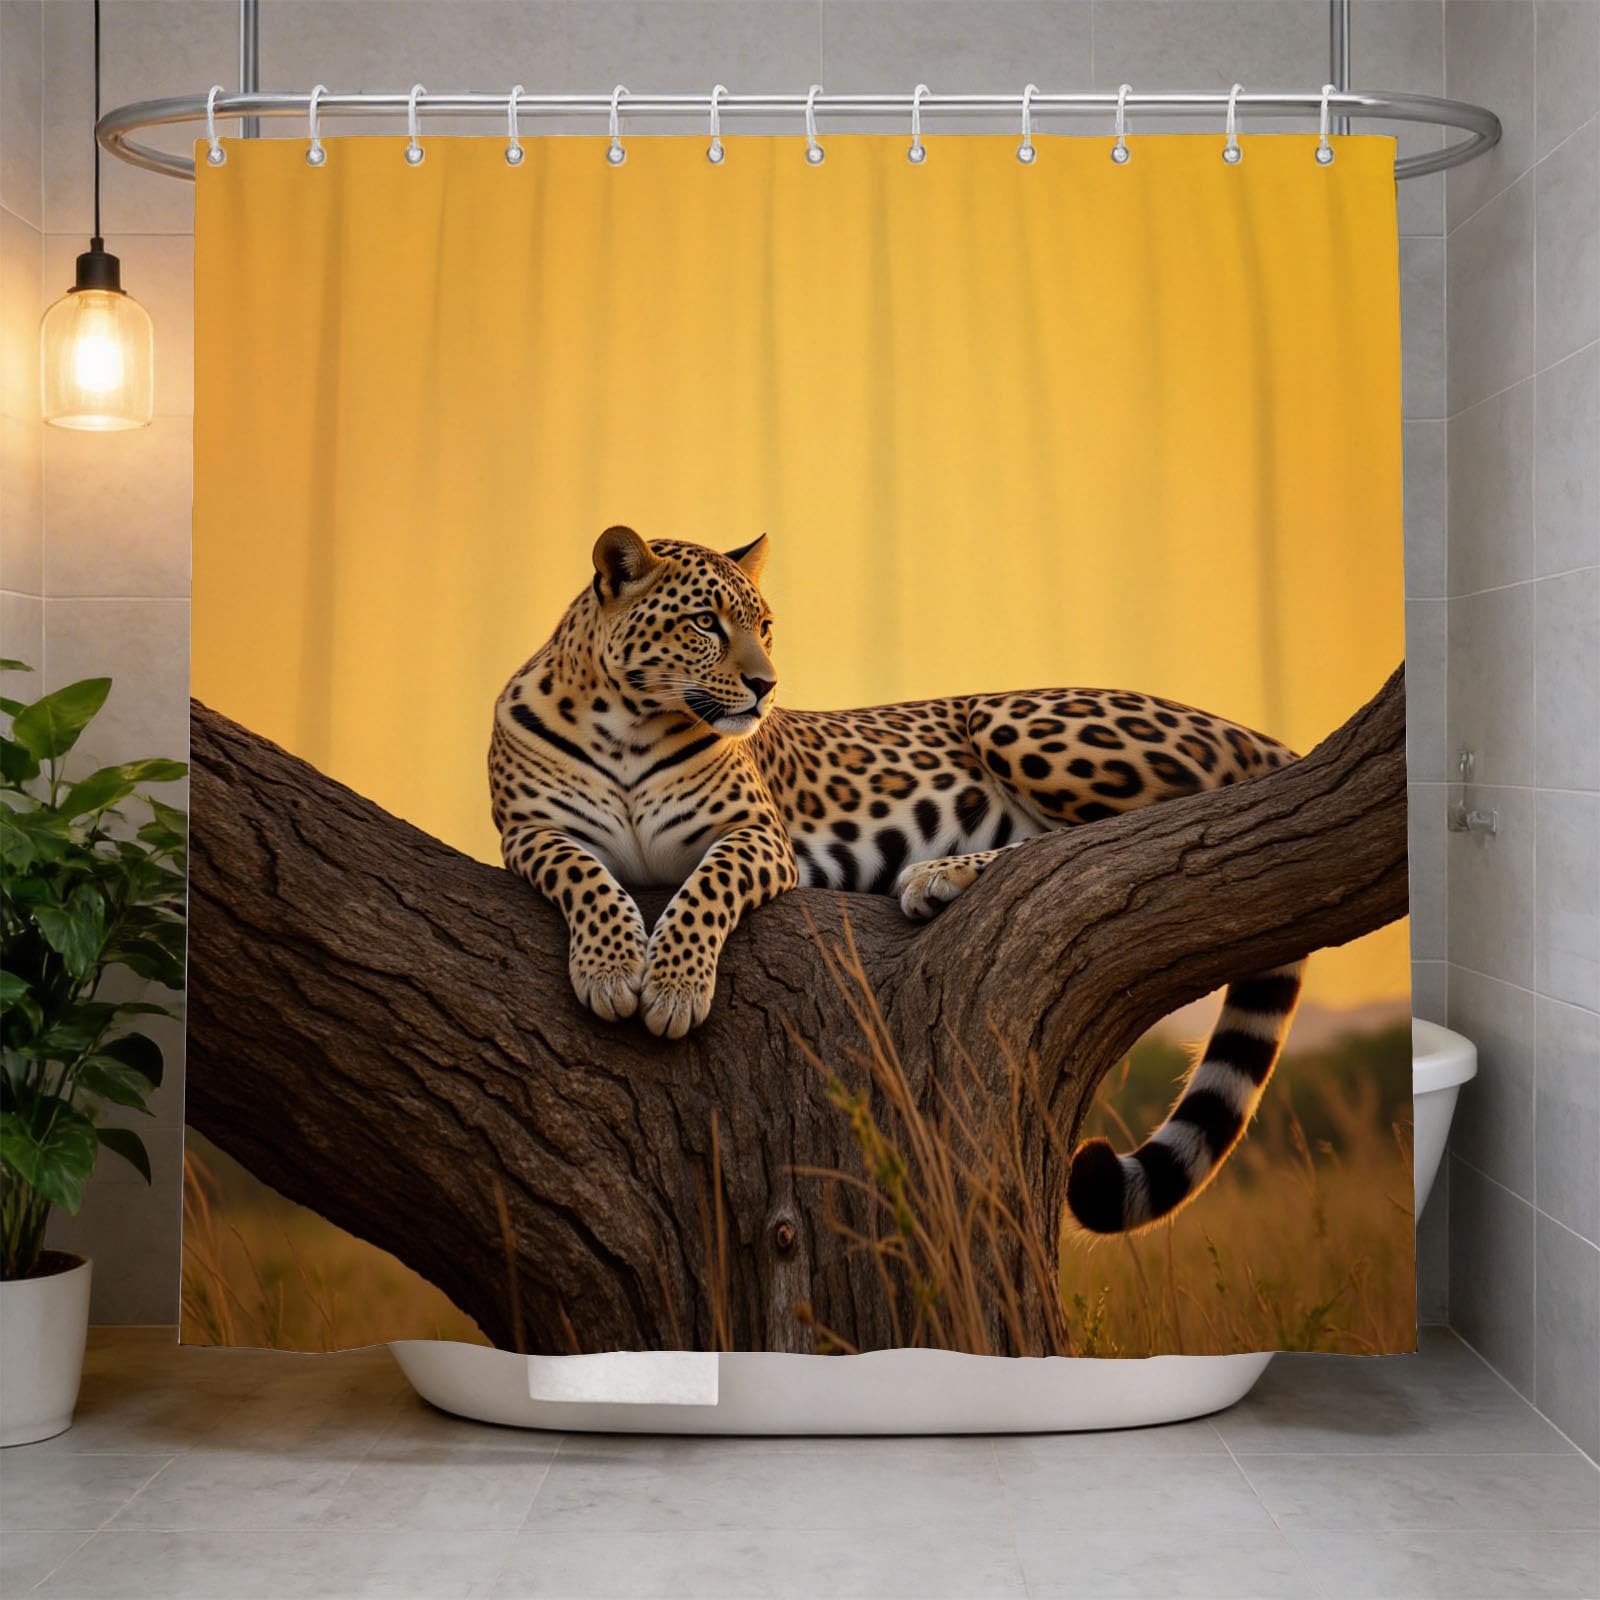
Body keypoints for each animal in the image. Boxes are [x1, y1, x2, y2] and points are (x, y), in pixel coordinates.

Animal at [491, 526, 1305, 1235]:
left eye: (764, 626)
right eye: (705, 623)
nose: (765, 687)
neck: (624, 722)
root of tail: (1257, 734)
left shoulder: (755, 835)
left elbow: (704, 890)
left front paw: (672, 987)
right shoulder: (529, 833)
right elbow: (585, 875)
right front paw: (610, 970)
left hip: (1011, 721)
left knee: (1123, 831)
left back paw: (937, 874)